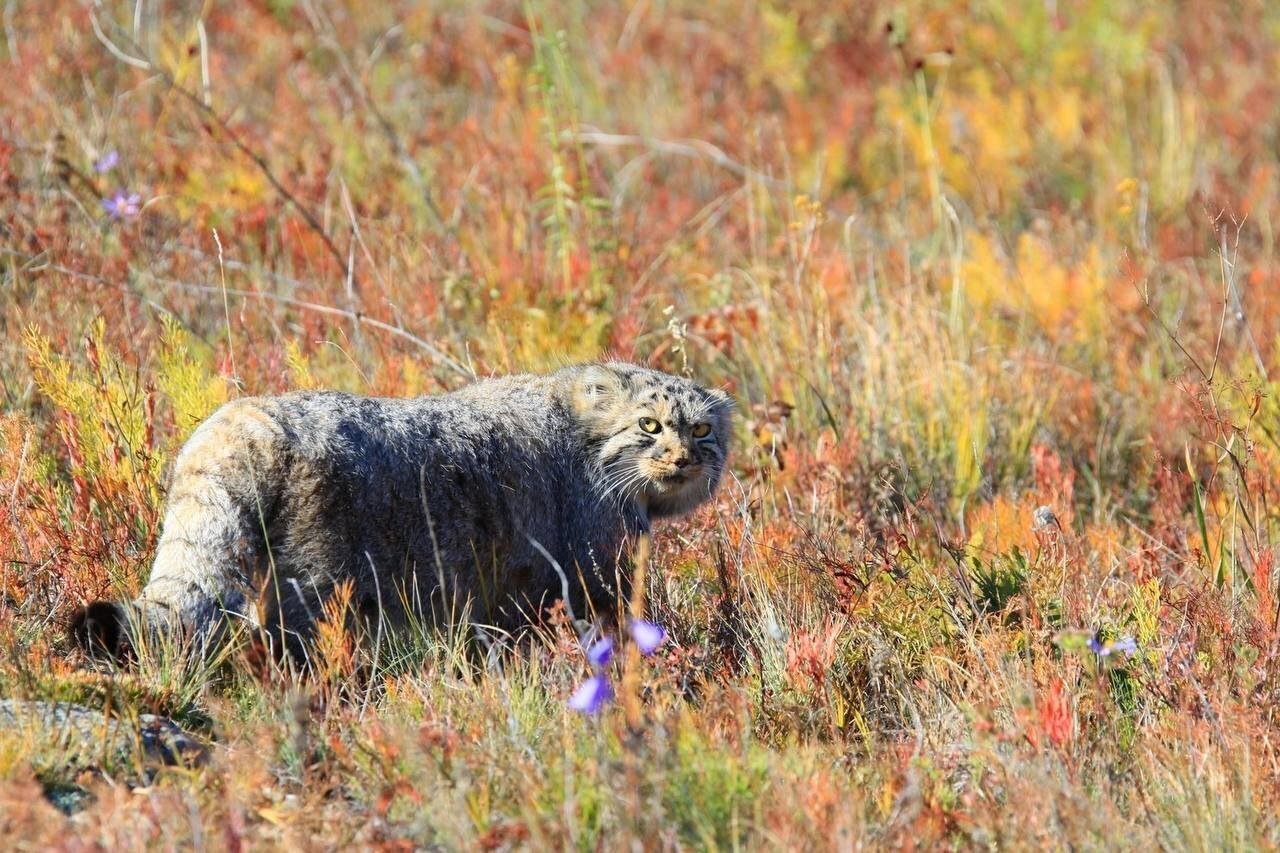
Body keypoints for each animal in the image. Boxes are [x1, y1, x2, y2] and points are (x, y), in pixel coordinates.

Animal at [70, 358, 732, 655]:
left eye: (701, 430)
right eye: (649, 426)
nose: (683, 458)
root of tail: (247, 419)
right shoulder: (593, 571)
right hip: (320, 585)